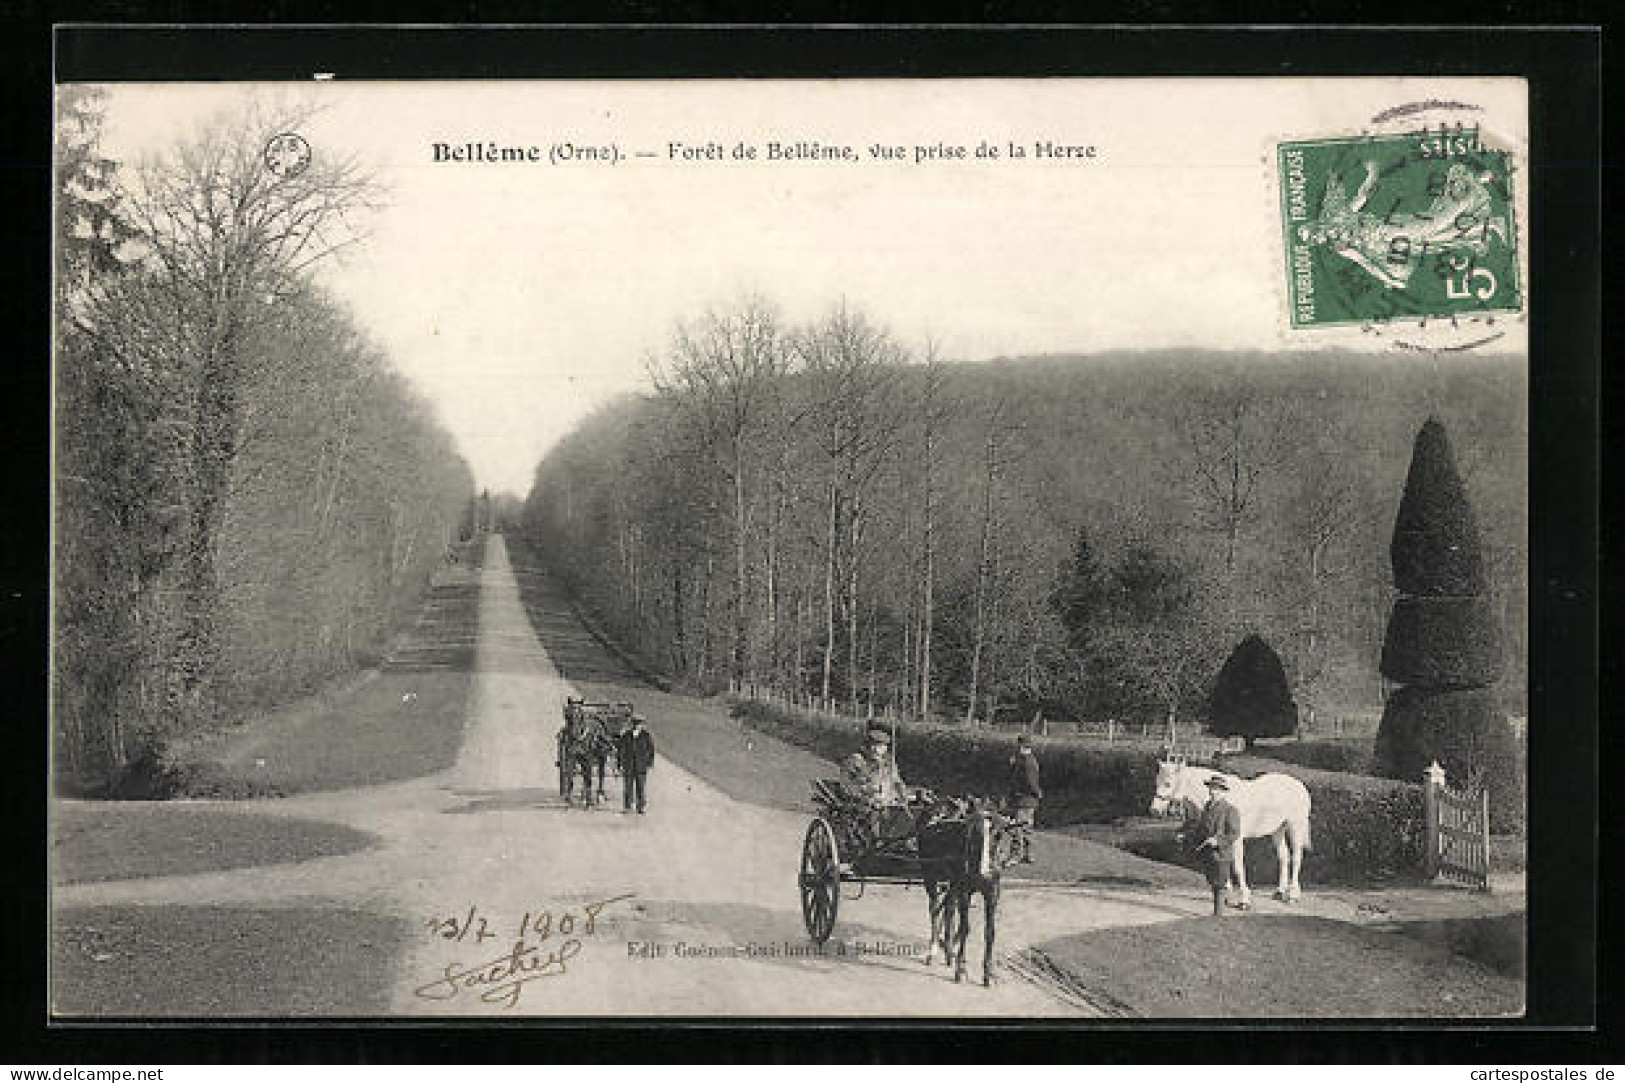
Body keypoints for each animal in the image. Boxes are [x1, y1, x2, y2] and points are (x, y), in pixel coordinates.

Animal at [923, 796, 1020, 982]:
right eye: (975, 832)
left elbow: (989, 932)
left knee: (948, 909)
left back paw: (948, 950)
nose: (985, 872)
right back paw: (933, 950)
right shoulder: (965, 891)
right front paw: (961, 968)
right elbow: (965, 927)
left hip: (953, 884)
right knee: (934, 909)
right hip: (931, 877)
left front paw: (987, 972)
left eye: (998, 835)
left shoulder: (992, 892)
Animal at [1150, 751, 1313, 904]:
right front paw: (1226, 895)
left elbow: (1238, 866)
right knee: (1284, 856)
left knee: (1296, 857)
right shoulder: (1221, 839)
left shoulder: (1236, 838)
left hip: (1295, 826)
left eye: (1168, 783)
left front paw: (1244, 899)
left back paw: (1293, 895)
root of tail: (1300, 786)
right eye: (1156, 782)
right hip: (1277, 830)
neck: (1224, 798)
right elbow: (1224, 862)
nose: (1154, 810)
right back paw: (1279, 891)